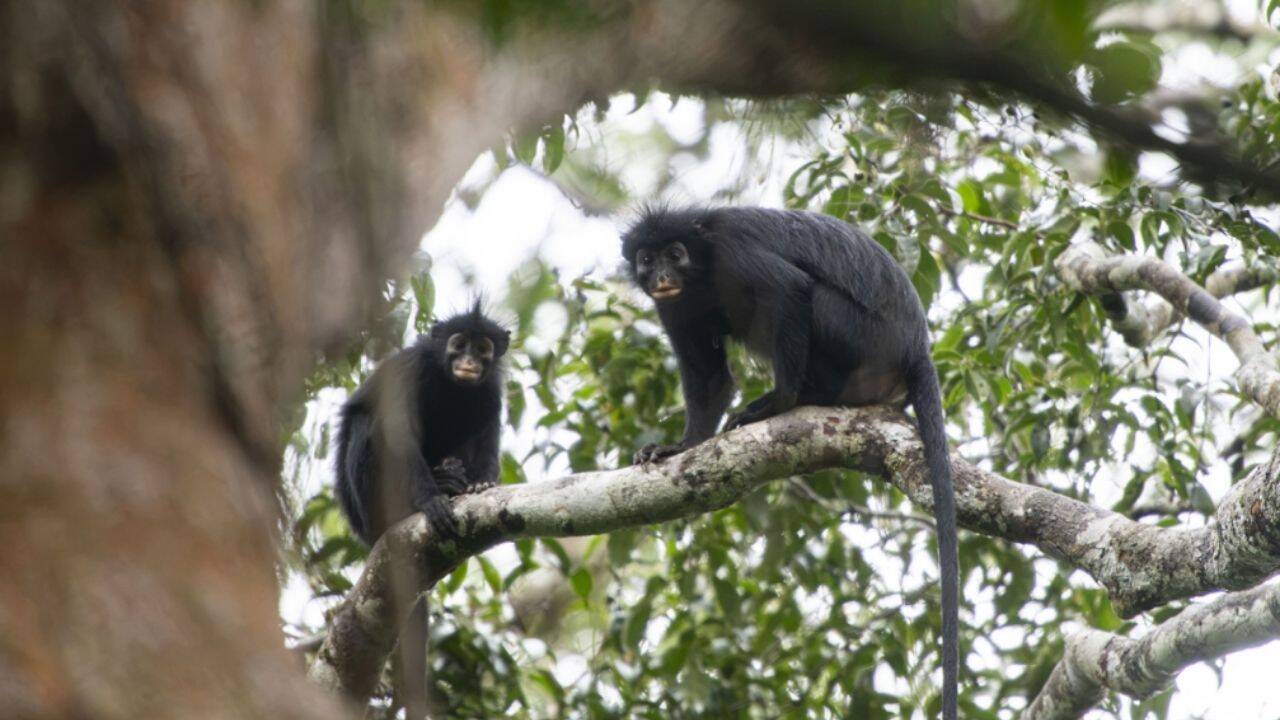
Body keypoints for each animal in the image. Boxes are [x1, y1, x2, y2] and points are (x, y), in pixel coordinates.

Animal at [334, 301, 509, 719]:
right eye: (459, 344)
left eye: (482, 349)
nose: (468, 361)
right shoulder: (410, 370)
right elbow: (398, 435)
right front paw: (431, 501)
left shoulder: (491, 390)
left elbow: (487, 434)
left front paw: (480, 486)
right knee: (368, 423)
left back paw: (452, 478)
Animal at [621, 206, 959, 720]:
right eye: (647, 259)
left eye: (674, 254)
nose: (661, 275)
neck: (702, 269)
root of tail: (914, 346)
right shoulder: (674, 306)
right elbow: (709, 380)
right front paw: (679, 448)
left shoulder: (734, 250)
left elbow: (790, 289)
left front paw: (779, 402)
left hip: (860, 335)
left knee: (808, 296)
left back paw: (801, 397)